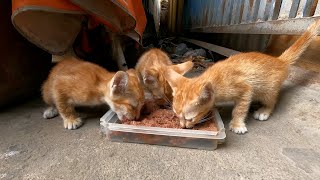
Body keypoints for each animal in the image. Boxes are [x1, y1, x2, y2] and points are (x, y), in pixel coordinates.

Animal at [164, 19, 320, 134]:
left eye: (190, 118)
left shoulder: (245, 89)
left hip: (268, 89)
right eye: (176, 115)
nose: (183, 126)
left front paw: (237, 124)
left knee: (272, 100)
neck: (216, 79)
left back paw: (264, 110)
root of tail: (279, 60)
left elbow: (239, 109)